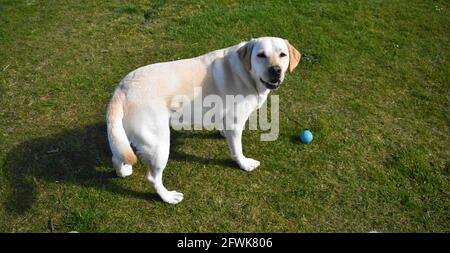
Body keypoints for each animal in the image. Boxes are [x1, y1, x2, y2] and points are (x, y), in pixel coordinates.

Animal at [107, 37, 300, 204]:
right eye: (261, 55)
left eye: (283, 55)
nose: (276, 70)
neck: (246, 73)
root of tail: (122, 89)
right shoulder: (236, 123)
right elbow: (237, 150)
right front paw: (244, 164)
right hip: (159, 146)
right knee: (152, 177)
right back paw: (168, 197)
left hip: (126, 135)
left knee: (116, 156)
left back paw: (123, 171)